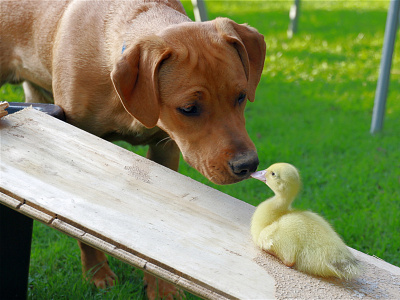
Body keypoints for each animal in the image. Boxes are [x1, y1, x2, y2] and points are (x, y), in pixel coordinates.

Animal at [1, 0, 268, 298]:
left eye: (241, 96)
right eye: (188, 109)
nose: (248, 165)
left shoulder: (166, 149)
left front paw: (162, 288)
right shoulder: (81, 135)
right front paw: (97, 273)